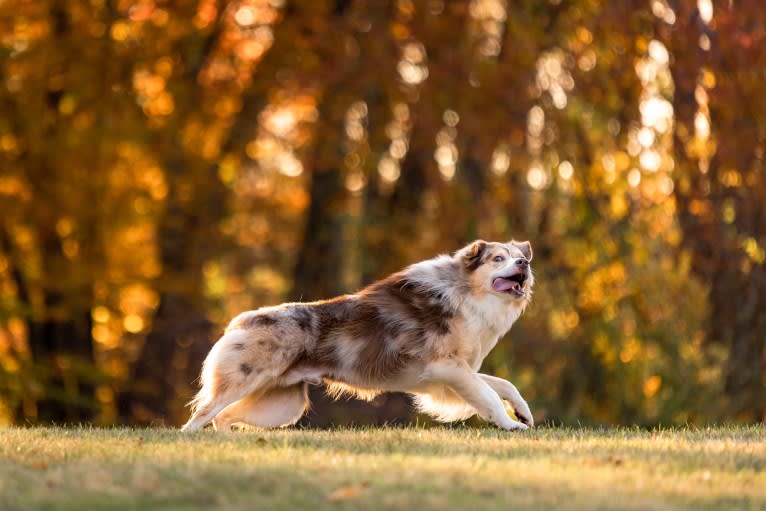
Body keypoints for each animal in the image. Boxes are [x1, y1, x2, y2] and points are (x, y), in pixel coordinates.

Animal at [183, 240, 536, 432]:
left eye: (520, 257)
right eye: (497, 258)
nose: (524, 262)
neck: (467, 295)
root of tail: (242, 320)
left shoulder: (453, 377)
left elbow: (505, 385)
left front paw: (524, 413)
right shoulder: (447, 368)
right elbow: (489, 396)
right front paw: (511, 425)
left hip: (281, 404)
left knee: (224, 417)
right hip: (245, 382)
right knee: (201, 415)